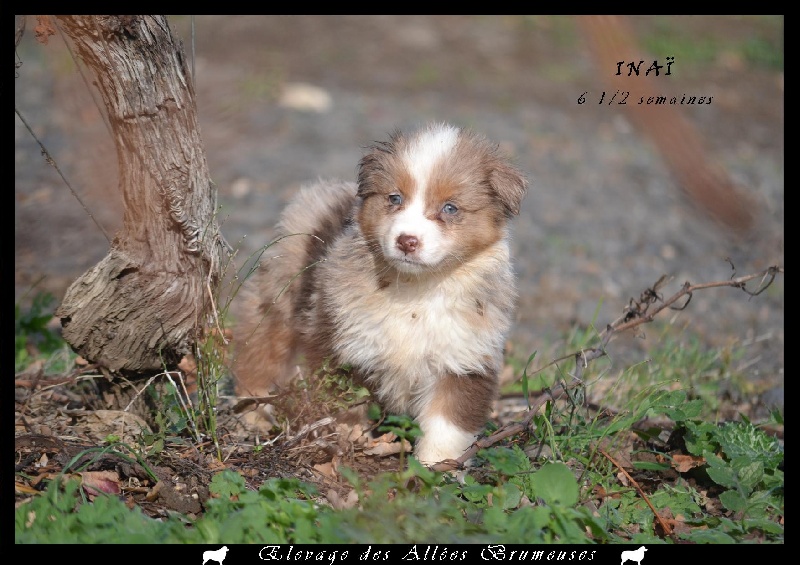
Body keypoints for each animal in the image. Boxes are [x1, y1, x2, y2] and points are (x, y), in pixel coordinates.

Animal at [233, 122, 528, 466]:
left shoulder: (464, 360)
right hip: (279, 298)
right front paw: (347, 442)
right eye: (394, 198)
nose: (407, 241)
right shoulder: (340, 344)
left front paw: (435, 467)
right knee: (261, 350)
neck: (415, 290)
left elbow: (446, 425)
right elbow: (344, 405)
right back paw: (252, 409)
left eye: (450, 208)